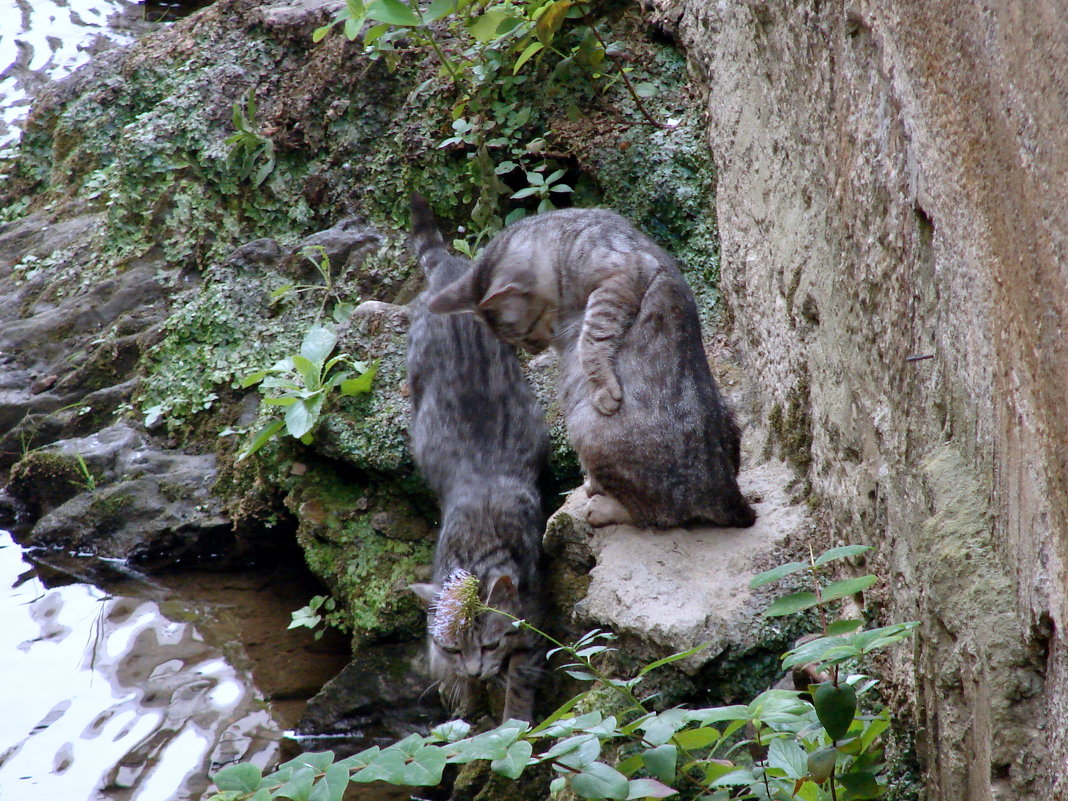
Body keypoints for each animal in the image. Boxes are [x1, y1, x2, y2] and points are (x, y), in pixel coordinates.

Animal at [403, 197, 546, 726]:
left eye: (487, 644)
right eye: (452, 647)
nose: (477, 669)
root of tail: (449, 272)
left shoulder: (531, 628)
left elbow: (522, 681)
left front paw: (512, 725)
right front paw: (461, 697)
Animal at [427, 210, 760, 529]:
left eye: (522, 334)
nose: (531, 350)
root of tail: (728, 494)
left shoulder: (621, 275)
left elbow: (593, 336)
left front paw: (601, 387)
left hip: (587, 433)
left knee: (658, 513)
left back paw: (603, 505)